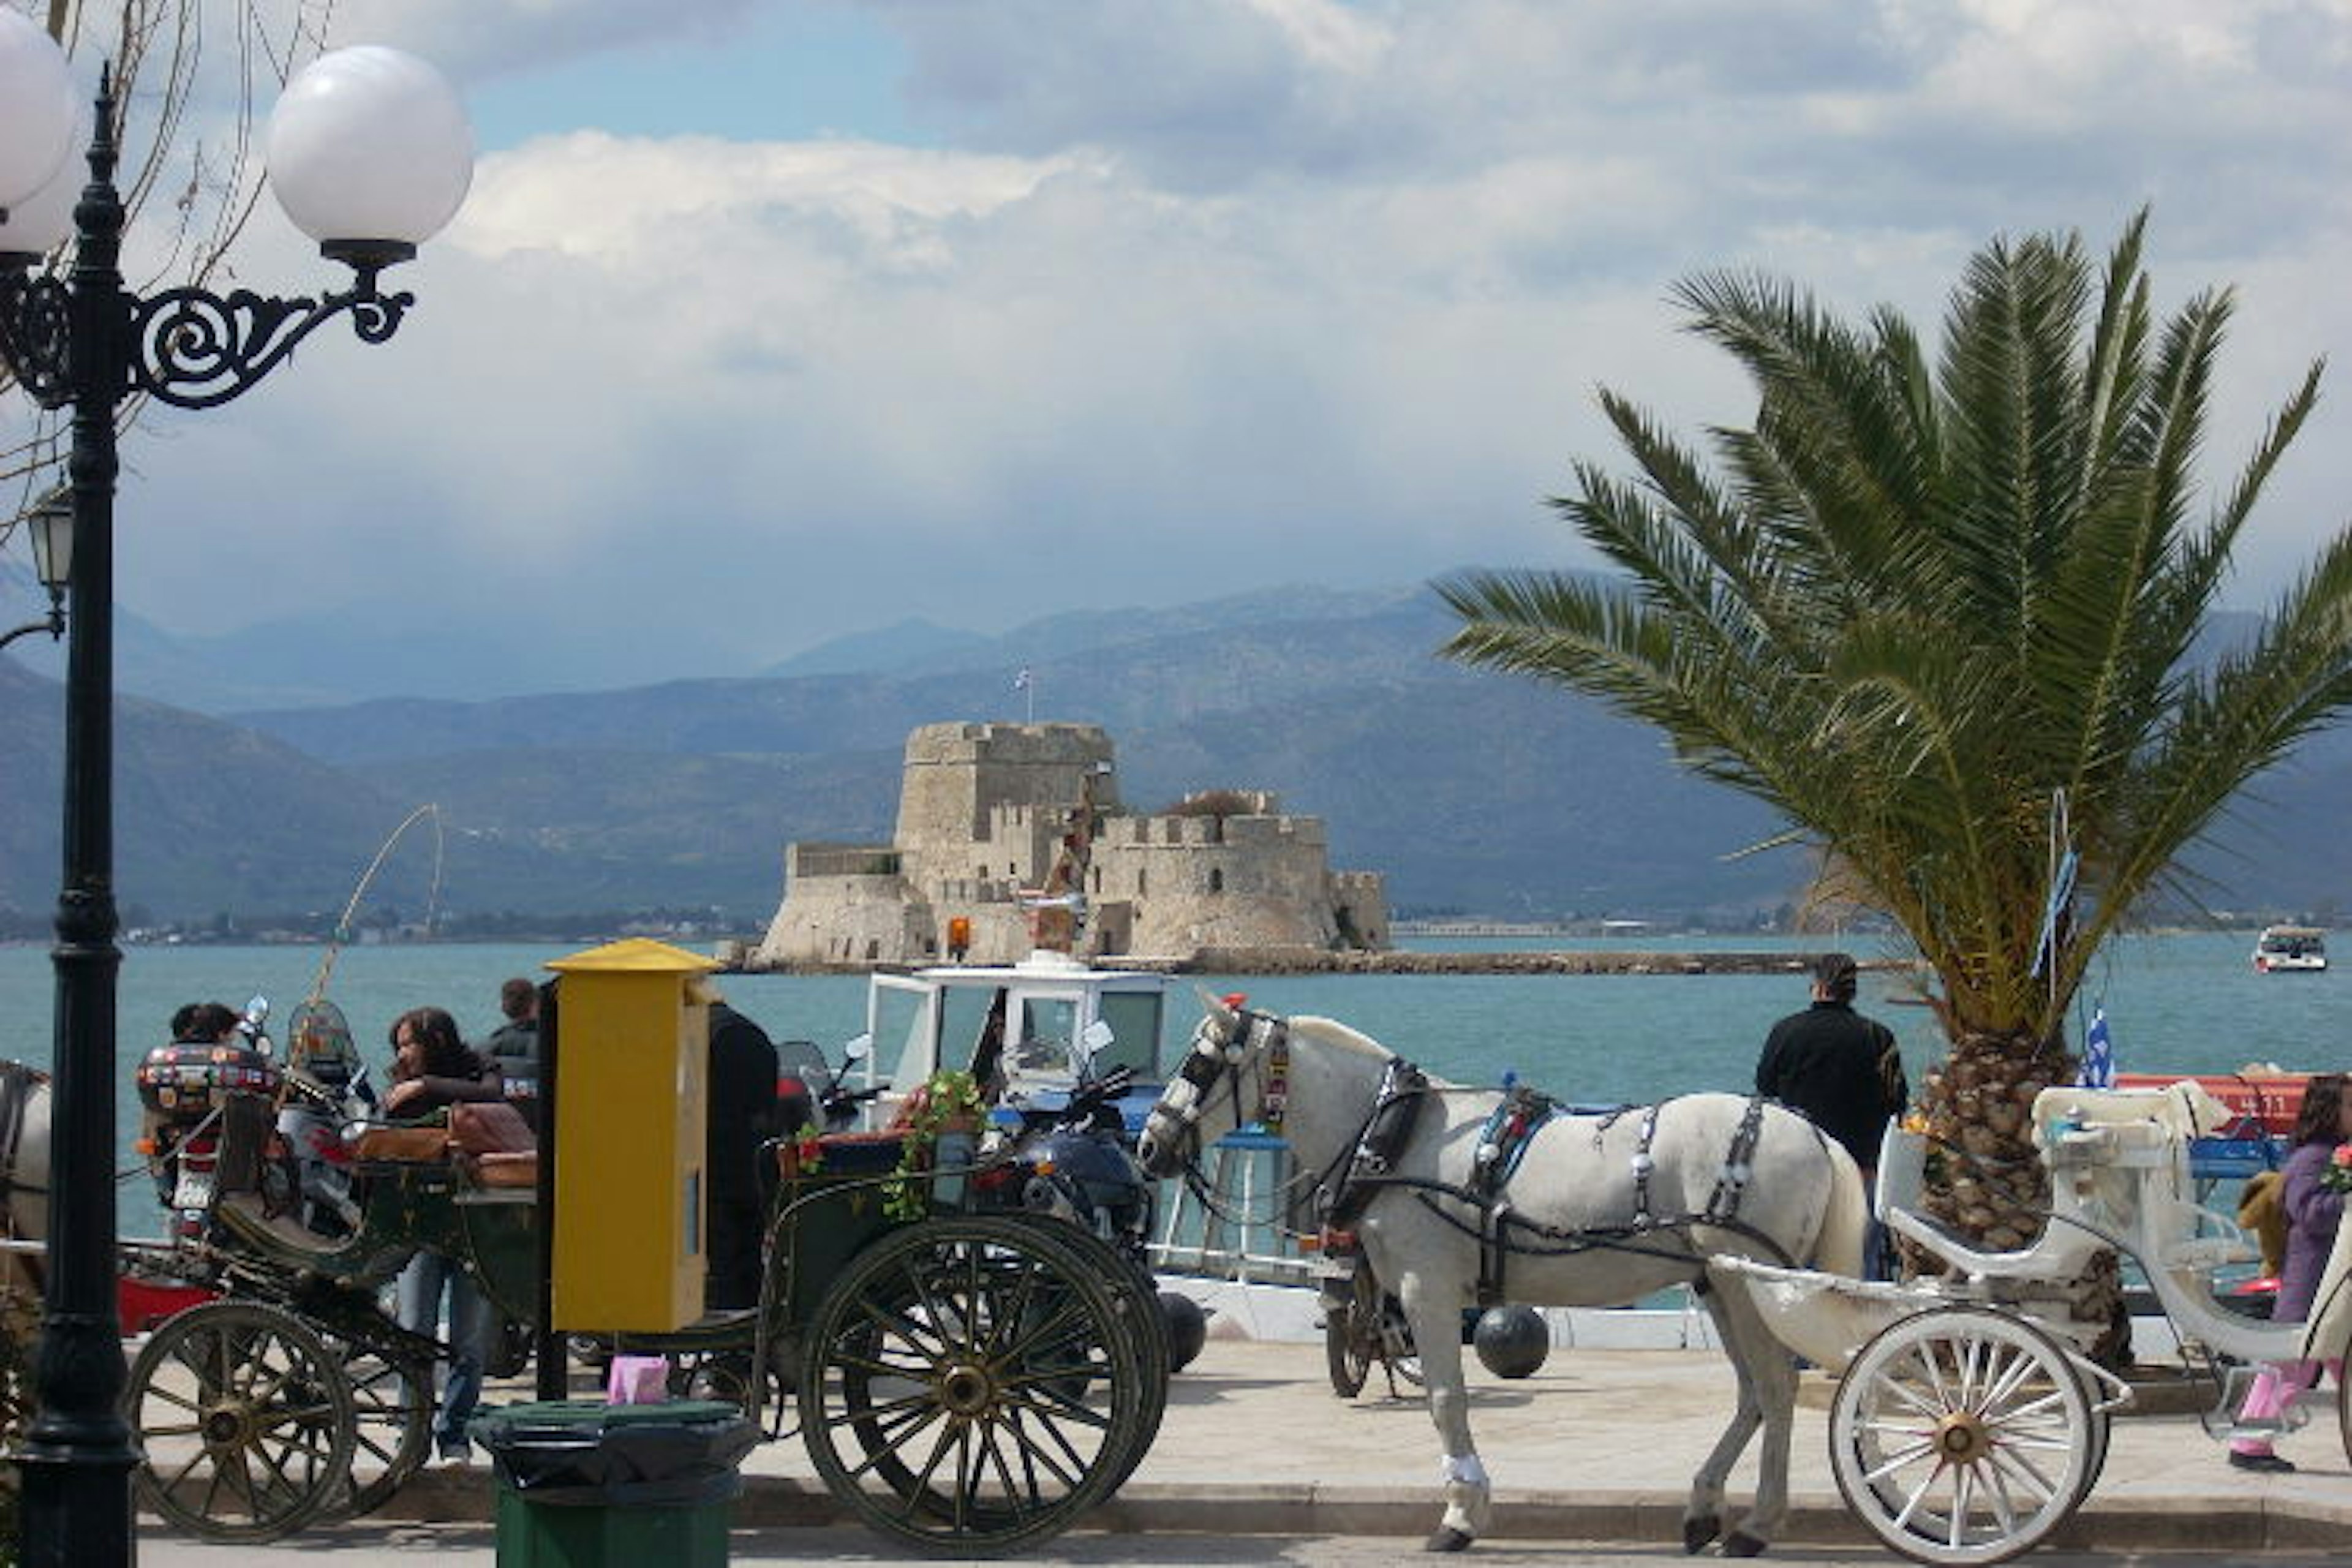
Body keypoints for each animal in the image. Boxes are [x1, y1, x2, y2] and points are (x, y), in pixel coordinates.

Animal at [1129, 1006, 1863, 1561]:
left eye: (1198, 1066)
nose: (1149, 1146)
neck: (1395, 1138)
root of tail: (1814, 1134)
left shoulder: (1426, 1289)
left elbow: (1447, 1399)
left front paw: (1461, 1513)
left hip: (1750, 1282)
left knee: (1776, 1386)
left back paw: (1756, 1525)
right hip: (1718, 1283)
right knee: (1752, 1393)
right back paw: (1705, 1508)